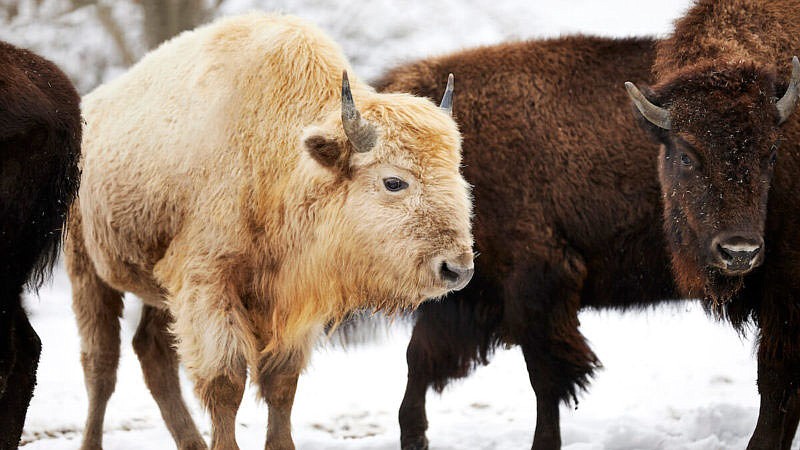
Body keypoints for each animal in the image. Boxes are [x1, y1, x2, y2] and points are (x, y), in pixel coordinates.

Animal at [67, 12, 476, 450]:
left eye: (457, 174)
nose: (457, 268)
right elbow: (225, 382)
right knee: (100, 366)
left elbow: (281, 384)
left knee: (152, 353)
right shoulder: (208, 284)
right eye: (394, 181)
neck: (276, 154)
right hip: (86, 272)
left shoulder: (294, 296)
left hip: (157, 292)